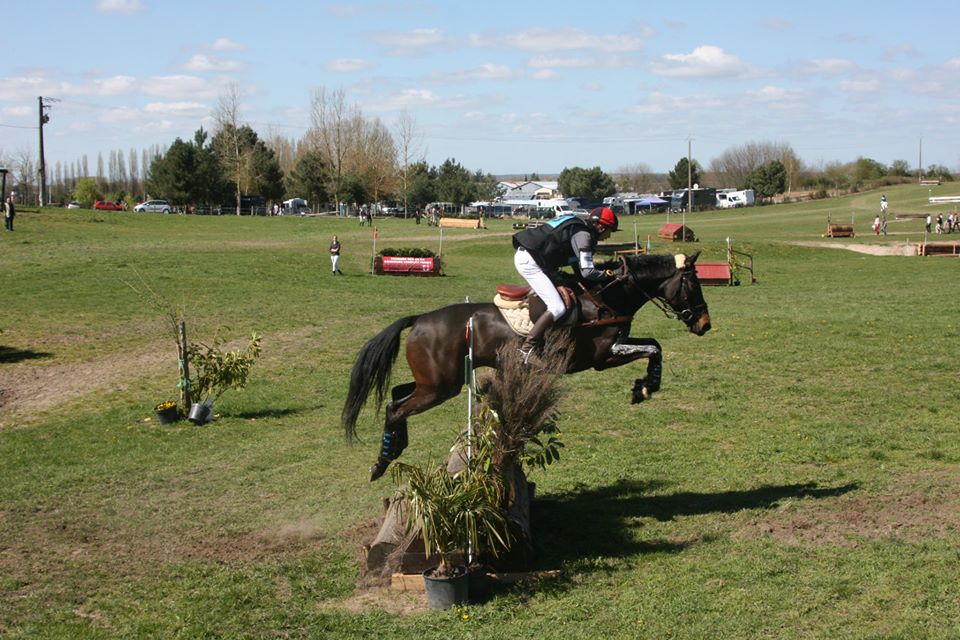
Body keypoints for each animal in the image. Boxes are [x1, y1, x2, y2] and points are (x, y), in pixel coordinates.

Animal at [344, 250, 712, 480]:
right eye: (693, 284)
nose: (704, 324)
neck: (607, 296)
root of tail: (419, 319)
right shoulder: (604, 356)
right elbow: (653, 348)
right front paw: (646, 387)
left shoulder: (612, 350)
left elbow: (655, 345)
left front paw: (643, 386)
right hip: (439, 387)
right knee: (396, 408)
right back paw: (382, 462)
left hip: (437, 382)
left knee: (396, 395)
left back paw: (395, 447)